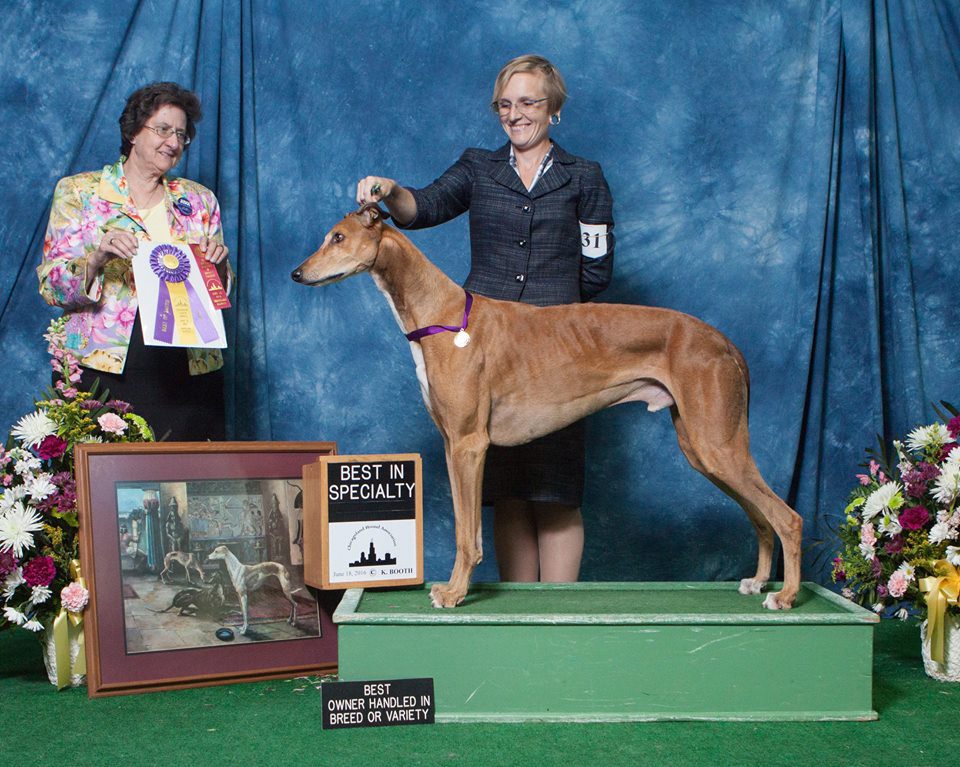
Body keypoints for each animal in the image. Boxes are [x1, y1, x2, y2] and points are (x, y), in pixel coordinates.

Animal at [292, 206, 804, 612]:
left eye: (337, 237)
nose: (297, 274)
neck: (443, 317)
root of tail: (723, 341)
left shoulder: (469, 444)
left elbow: (465, 534)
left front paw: (455, 593)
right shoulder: (452, 445)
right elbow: (466, 527)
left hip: (716, 444)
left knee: (787, 518)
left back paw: (785, 595)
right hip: (705, 448)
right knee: (760, 517)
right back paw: (759, 581)